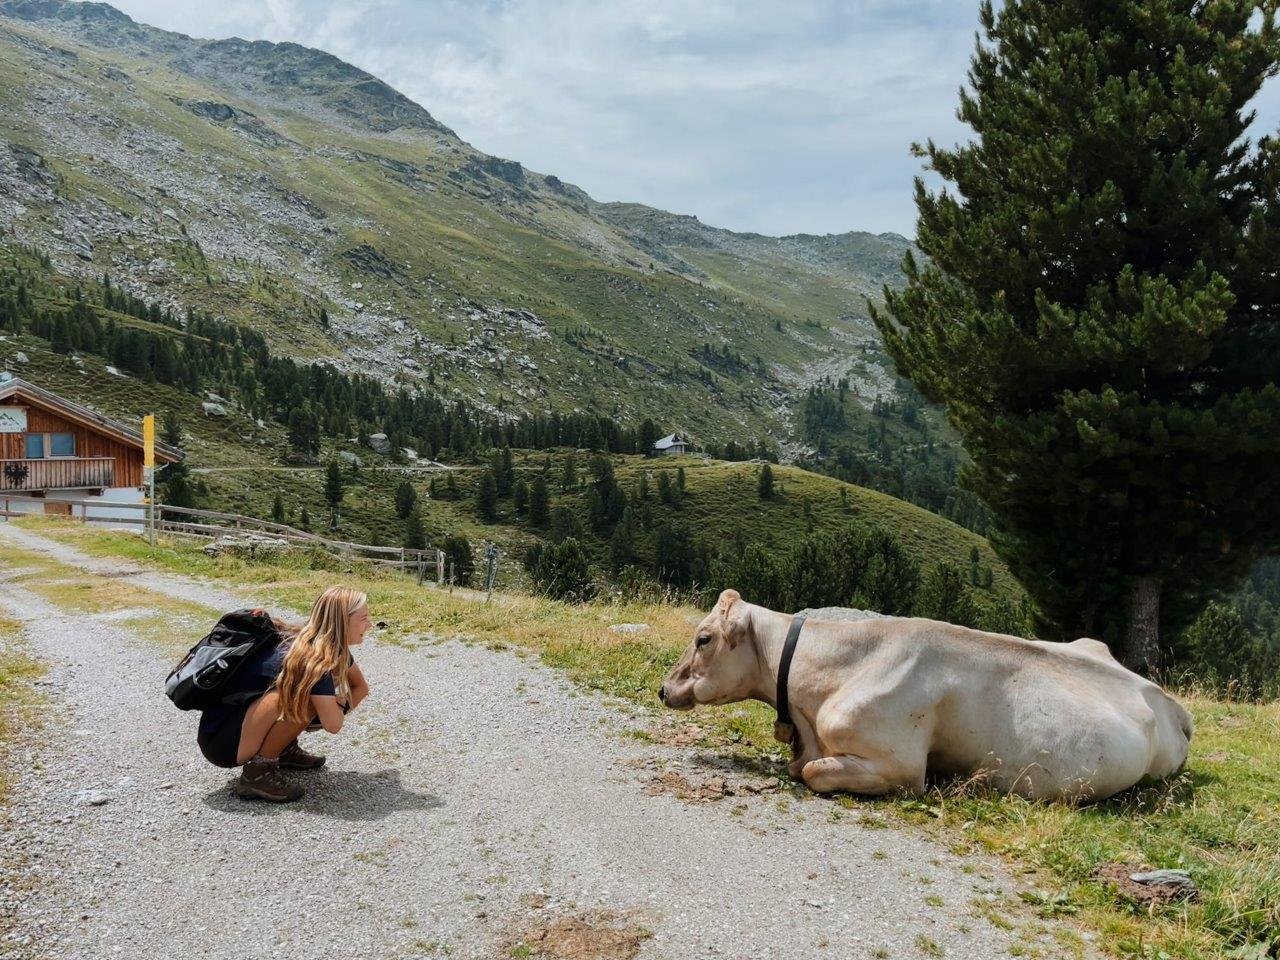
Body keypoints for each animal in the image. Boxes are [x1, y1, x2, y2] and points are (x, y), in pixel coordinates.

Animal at [660, 586, 1187, 803]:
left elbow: (810, 772)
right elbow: (801, 765)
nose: (664, 689)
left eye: (703, 639)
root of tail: (1164, 697)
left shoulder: (901, 767)